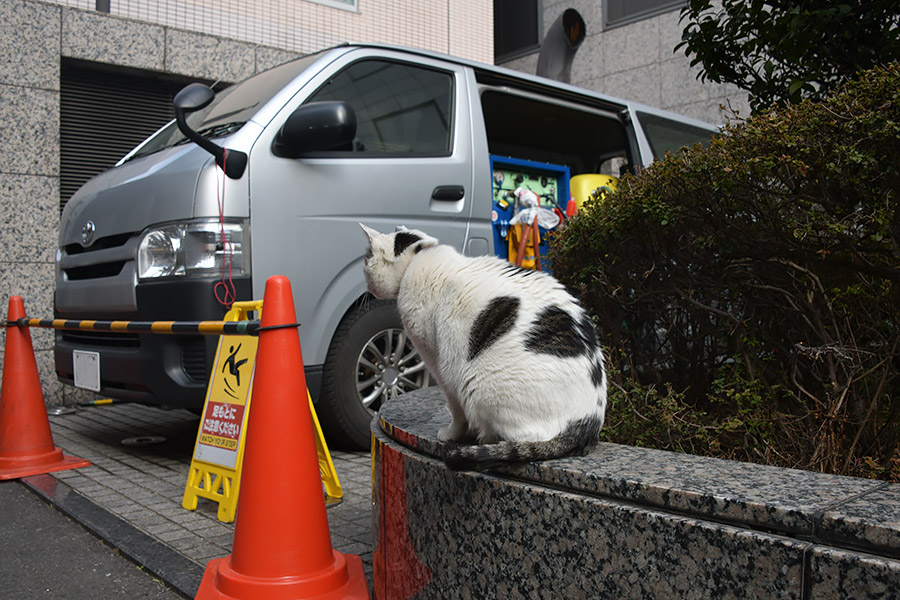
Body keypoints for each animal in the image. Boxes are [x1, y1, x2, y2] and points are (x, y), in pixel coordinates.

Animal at [358, 224, 604, 468]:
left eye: (367, 258)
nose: (365, 284)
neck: (418, 260)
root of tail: (589, 422)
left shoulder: (440, 366)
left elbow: (456, 410)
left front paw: (452, 434)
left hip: (478, 384)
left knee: (527, 439)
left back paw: (486, 438)